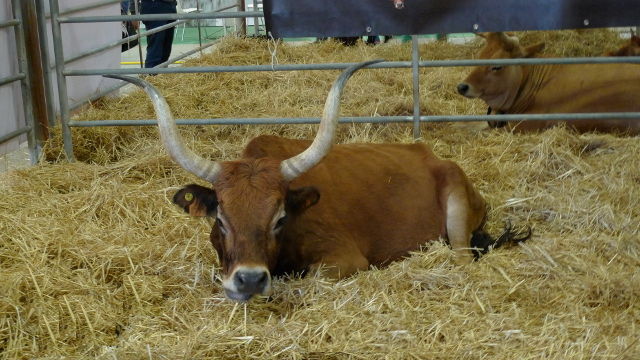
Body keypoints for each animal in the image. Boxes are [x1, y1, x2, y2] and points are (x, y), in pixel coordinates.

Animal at [109, 61, 528, 300]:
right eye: (221, 220)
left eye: (280, 218)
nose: (249, 281)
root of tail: (431, 154)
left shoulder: (345, 258)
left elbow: (310, 279)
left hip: (457, 217)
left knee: (461, 257)